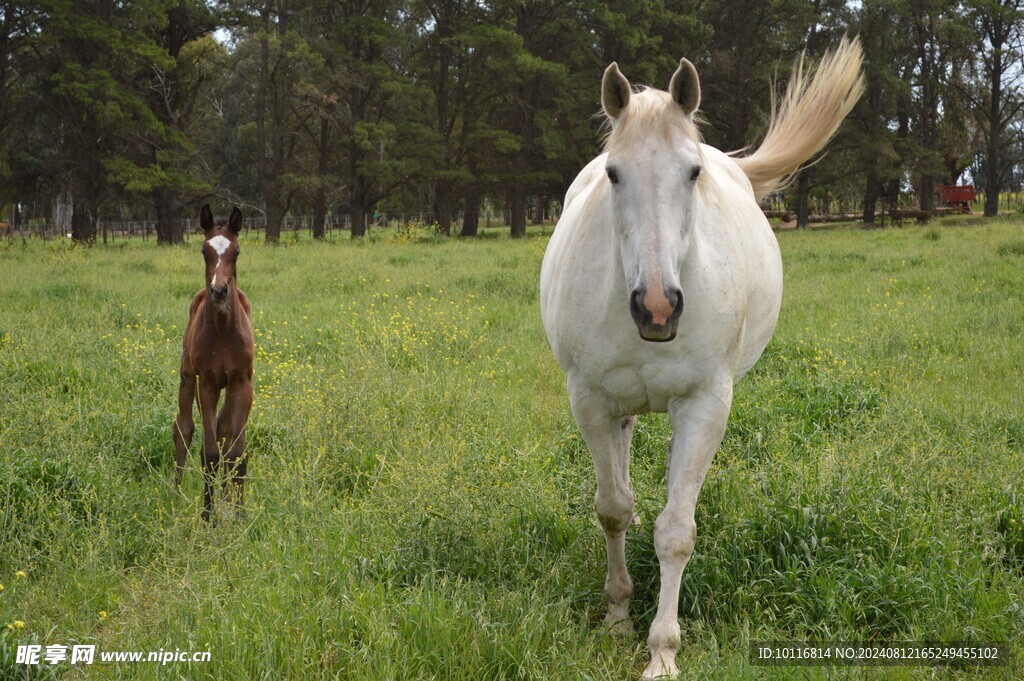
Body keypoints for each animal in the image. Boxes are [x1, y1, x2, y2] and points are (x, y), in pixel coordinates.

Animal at [173, 201, 254, 520]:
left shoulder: (242, 384)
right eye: (204, 251)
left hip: (228, 388)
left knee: (224, 433)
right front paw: (208, 518)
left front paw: (240, 514)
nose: (219, 291)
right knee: (183, 430)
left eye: (237, 252)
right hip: (187, 378)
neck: (222, 331)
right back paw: (177, 495)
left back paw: (226, 497)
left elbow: (236, 453)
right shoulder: (206, 384)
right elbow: (209, 454)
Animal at [540, 39, 860, 675]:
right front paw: (618, 615)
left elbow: (676, 532)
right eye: (613, 174)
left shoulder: (705, 403)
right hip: (619, 405)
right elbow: (611, 509)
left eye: (692, 172)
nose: (657, 308)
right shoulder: (589, 399)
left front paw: (662, 653)